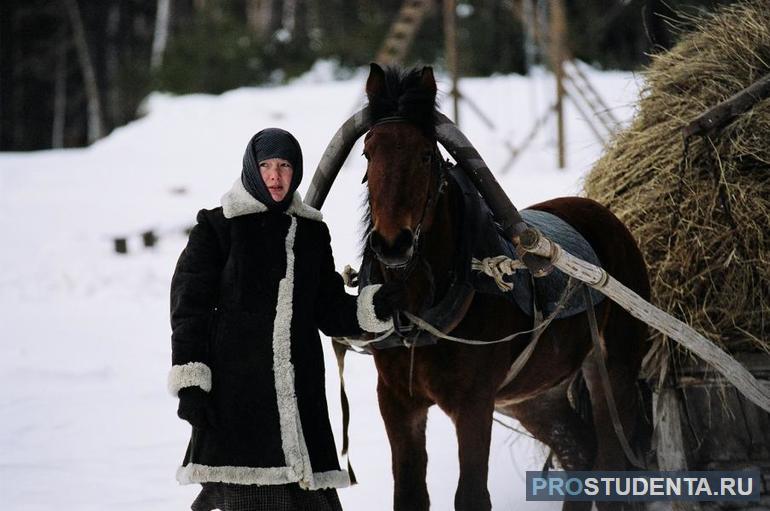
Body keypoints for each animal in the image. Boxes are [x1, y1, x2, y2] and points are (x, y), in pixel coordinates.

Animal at [354, 64, 648, 511]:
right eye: (369, 153)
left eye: (425, 155)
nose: (392, 244)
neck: (424, 307)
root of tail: (602, 211)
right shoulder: (396, 401)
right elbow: (409, 494)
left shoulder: (474, 403)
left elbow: (472, 495)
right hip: (536, 395)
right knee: (580, 452)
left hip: (614, 367)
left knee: (611, 467)